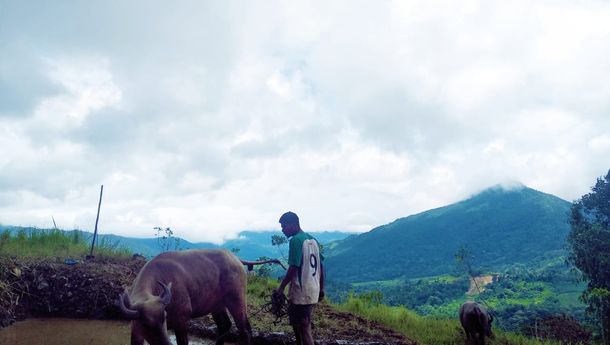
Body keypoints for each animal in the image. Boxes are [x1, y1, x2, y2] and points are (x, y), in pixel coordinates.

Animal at [117, 249, 251, 344]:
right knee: (225, 325)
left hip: (237, 300)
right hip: (217, 306)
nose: (166, 344)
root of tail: (235, 258)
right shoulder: (136, 331)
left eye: (164, 317)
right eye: (145, 323)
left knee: (245, 329)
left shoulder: (181, 322)